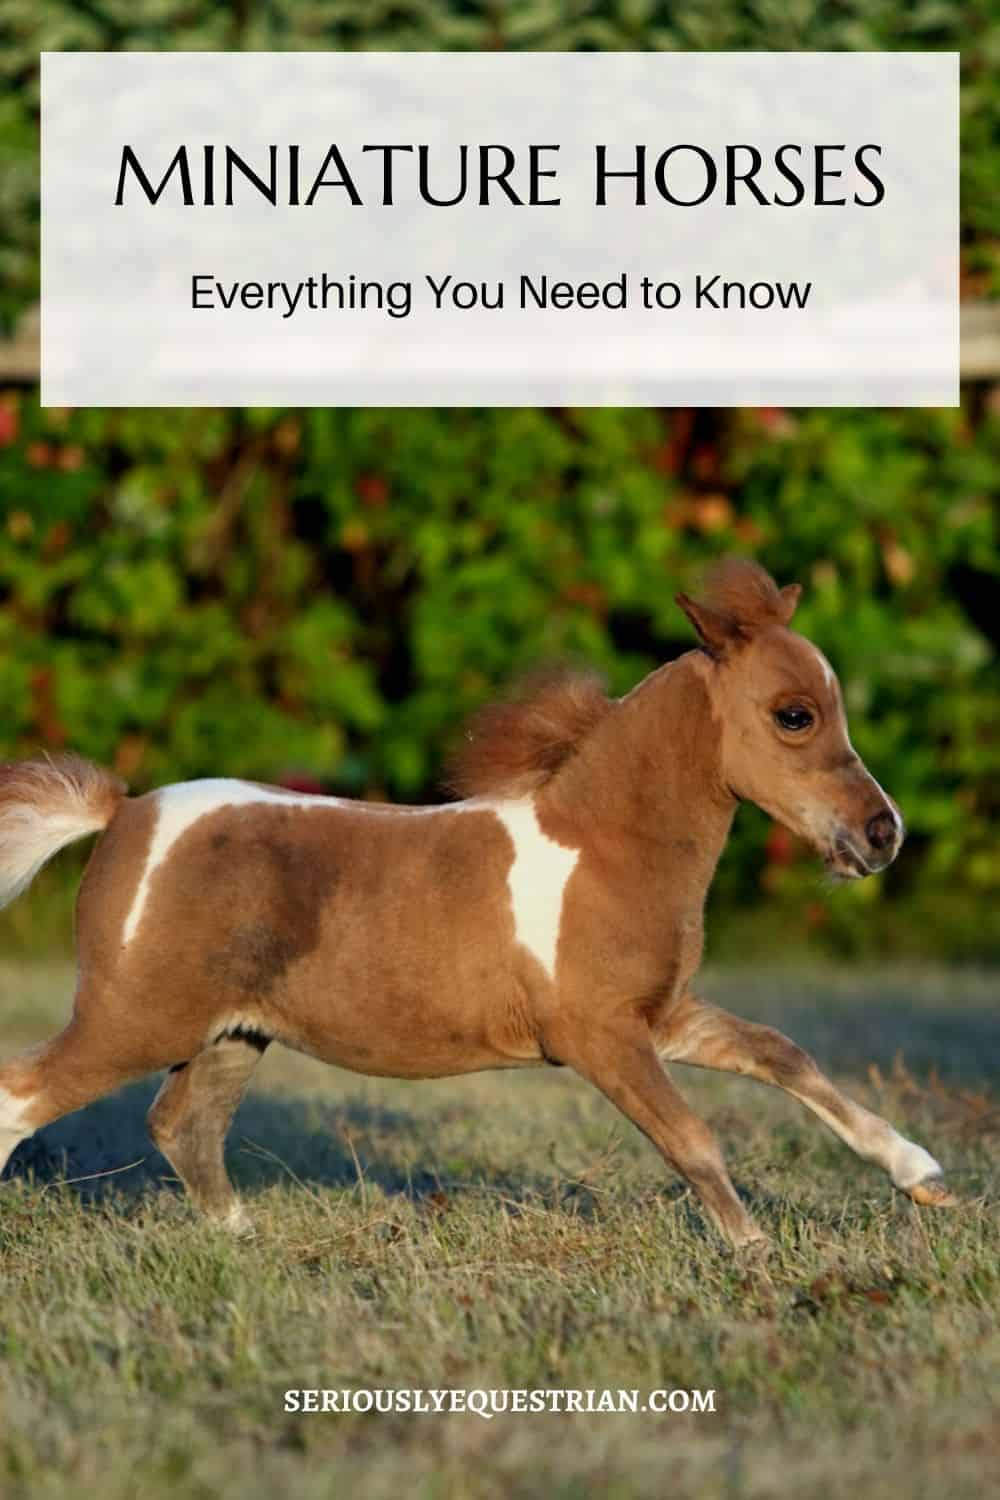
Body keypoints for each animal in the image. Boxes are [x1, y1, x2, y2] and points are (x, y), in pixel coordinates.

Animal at [0, 559, 955, 1246]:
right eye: (795, 715)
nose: (884, 833)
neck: (605, 846)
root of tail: (125, 813)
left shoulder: (660, 1016)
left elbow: (783, 1054)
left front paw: (922, 1176)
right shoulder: (599, 1036)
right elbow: (692, 1137)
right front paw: (754, 1254)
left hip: (232, 1032)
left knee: (182, 1126)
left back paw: (249, 1240)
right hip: (134, 1020)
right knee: (25, 1095)